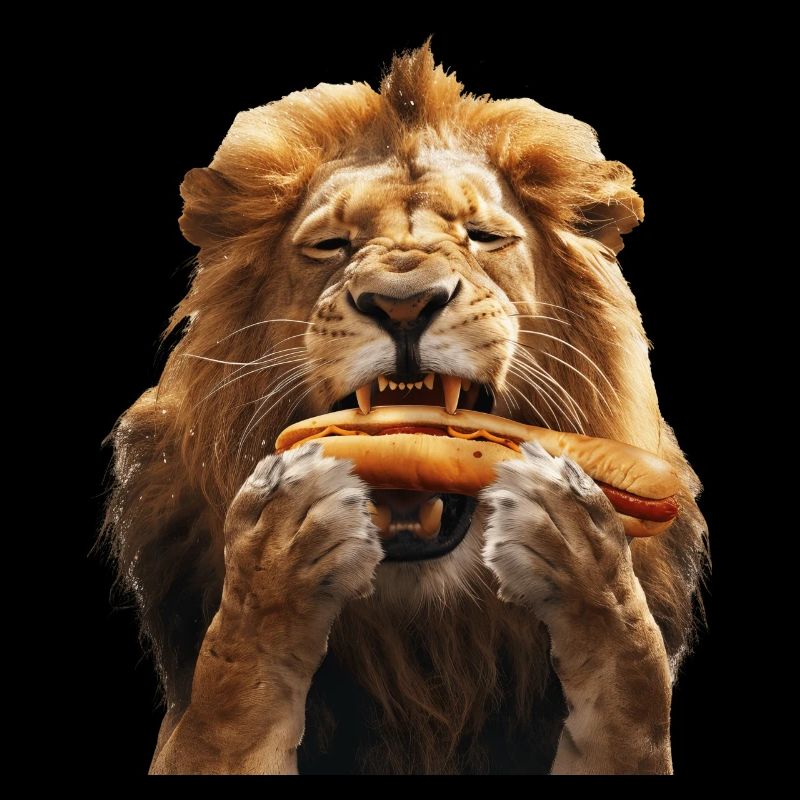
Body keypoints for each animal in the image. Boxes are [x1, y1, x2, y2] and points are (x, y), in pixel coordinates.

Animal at [102, 44, 708, 774]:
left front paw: (586, 560)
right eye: (330, 245)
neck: (424, 647)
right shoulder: (195, 723)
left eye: (483, 236)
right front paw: (274, 564)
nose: (403, 303)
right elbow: (229, 703)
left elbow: (632, 682)